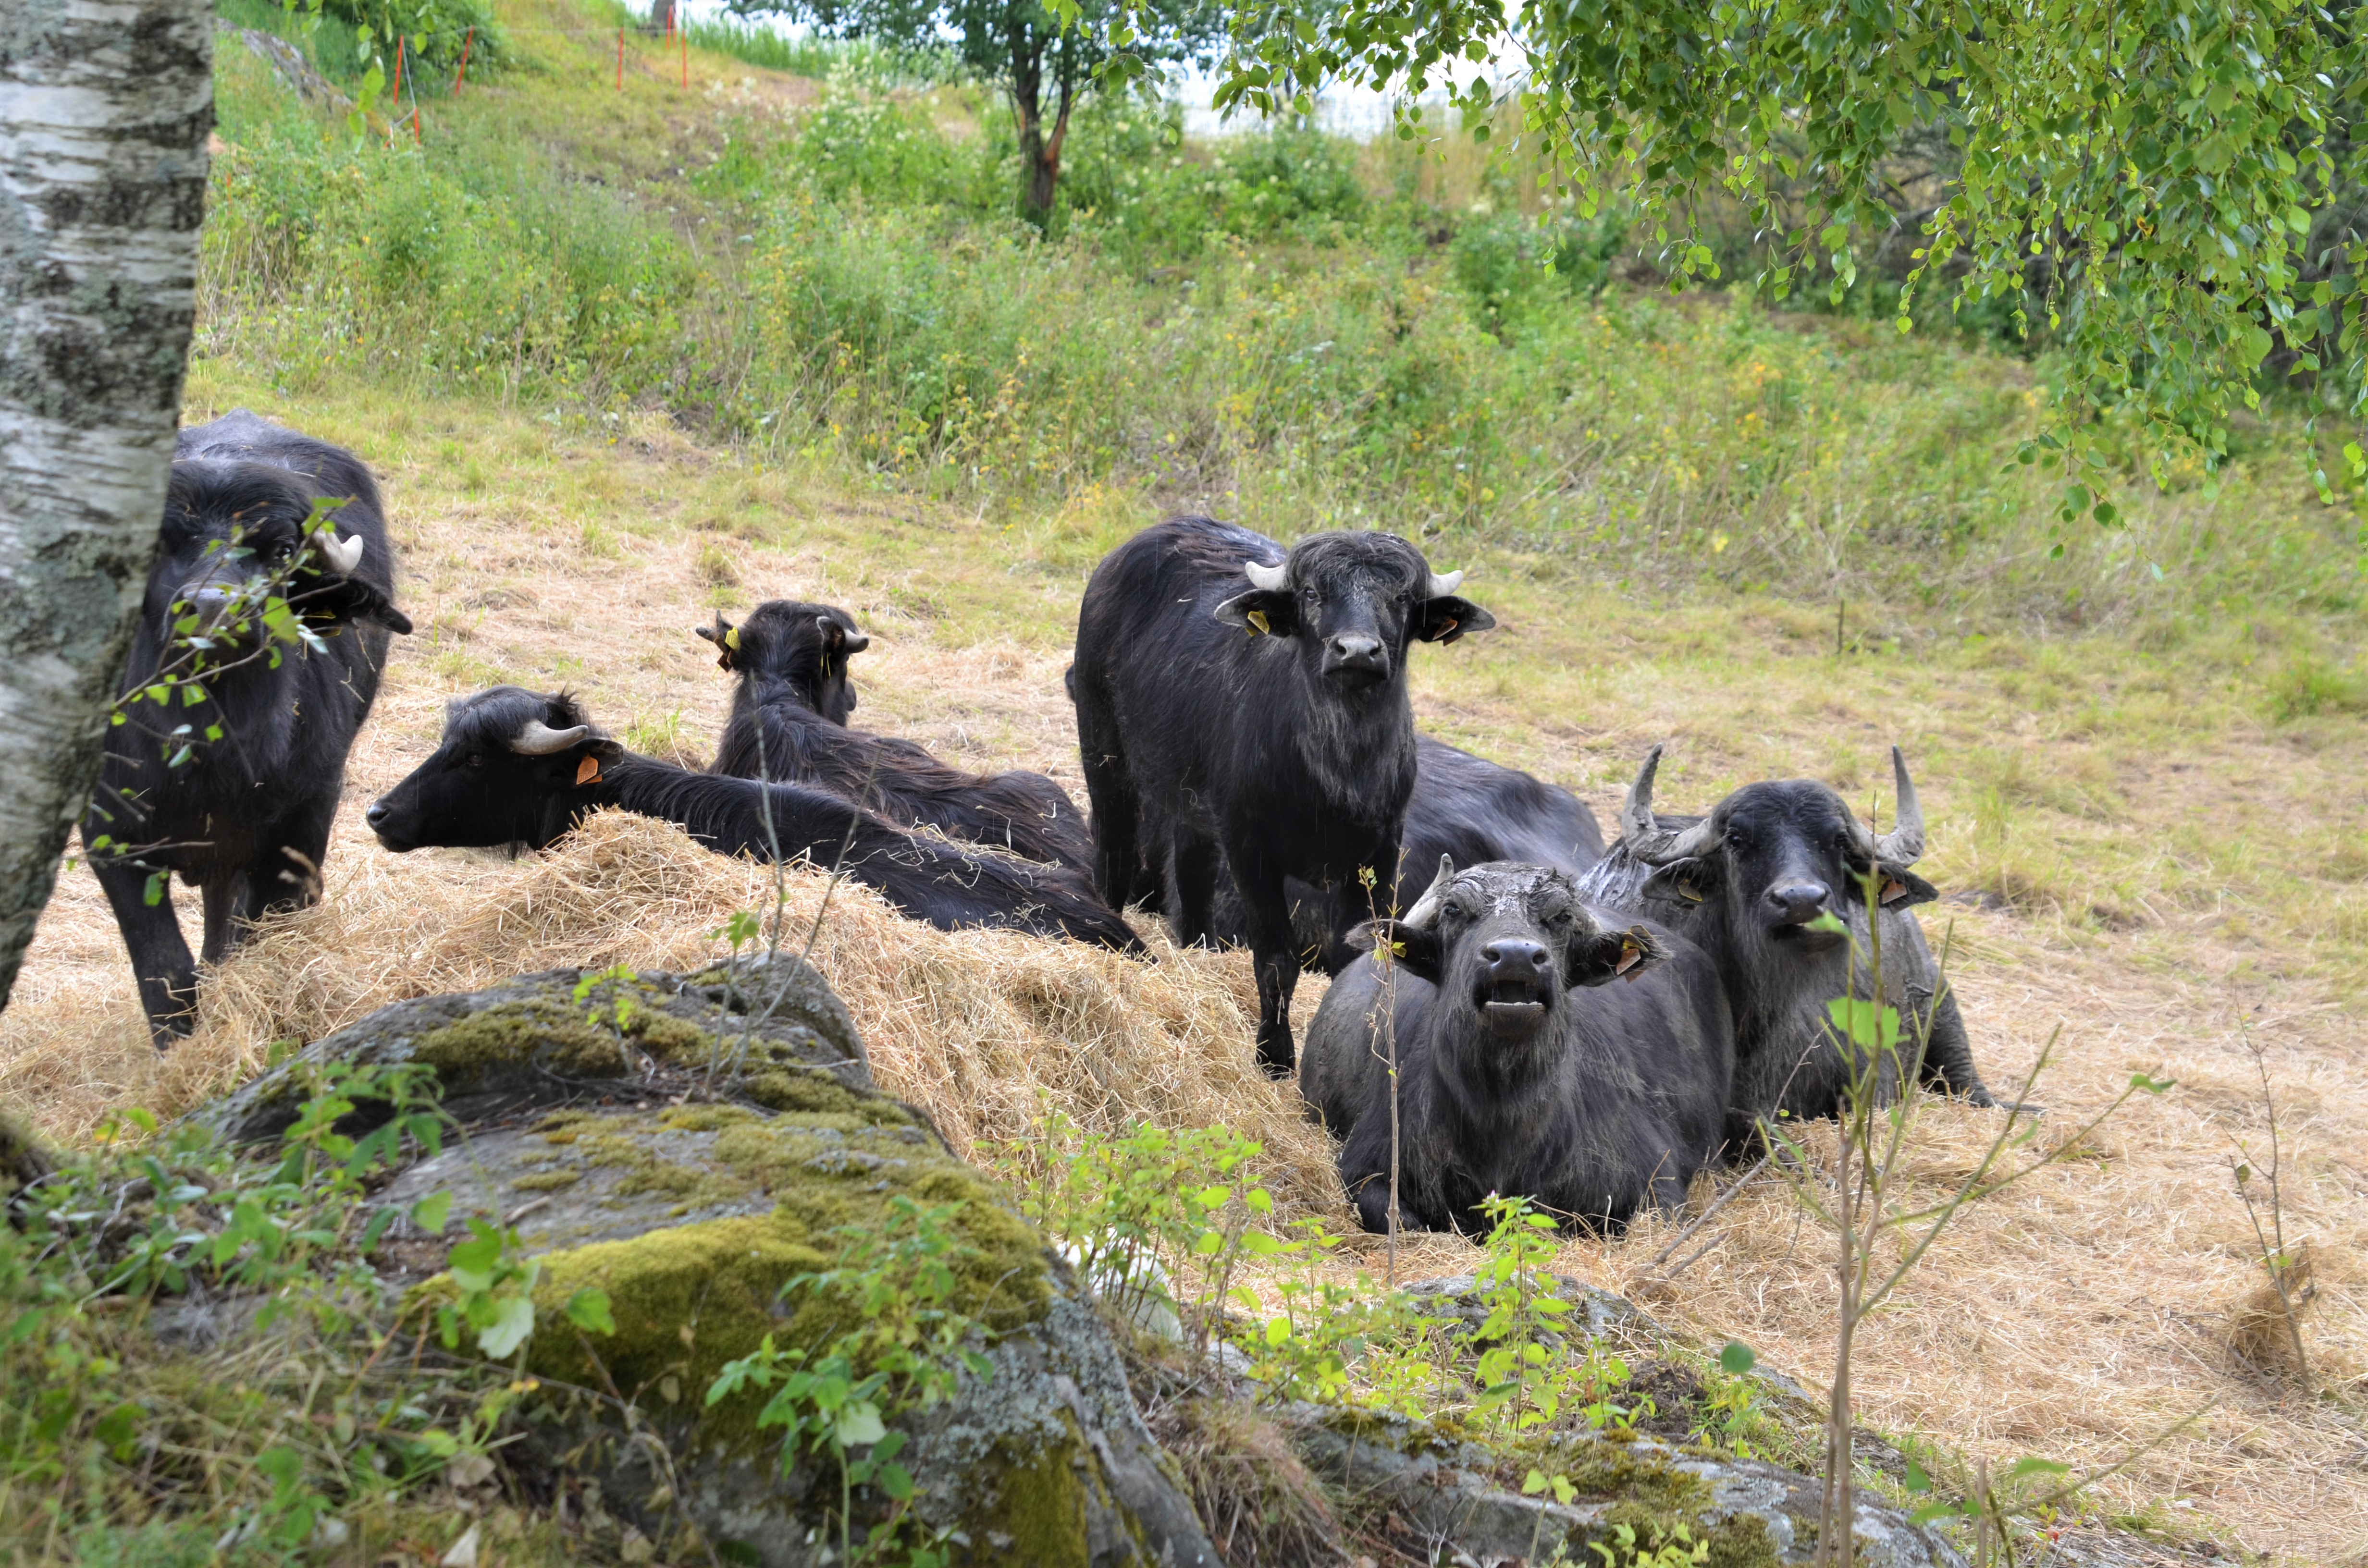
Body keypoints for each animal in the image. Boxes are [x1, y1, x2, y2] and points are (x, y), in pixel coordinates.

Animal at [1080, 518, 1496, 1080]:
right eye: (1313, 593)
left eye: (1401, 598)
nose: (1357, 652)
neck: (1335, 775)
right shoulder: (1251, 849)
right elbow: (1278, 959)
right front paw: (1274, 1056)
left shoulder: (1379, 853)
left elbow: (1355, 956)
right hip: (1104, 752)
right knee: (1114, 849)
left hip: (1194, 806)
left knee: (1191, 870)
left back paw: (1201, 949)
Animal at [1307, 862, 1733, 1241]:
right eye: (1453, 910)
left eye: (1561, 916)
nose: (1516, 956)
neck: (1503, 1113)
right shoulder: (1367, 1163)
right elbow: (1394, 1215)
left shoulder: (1655, 1179)